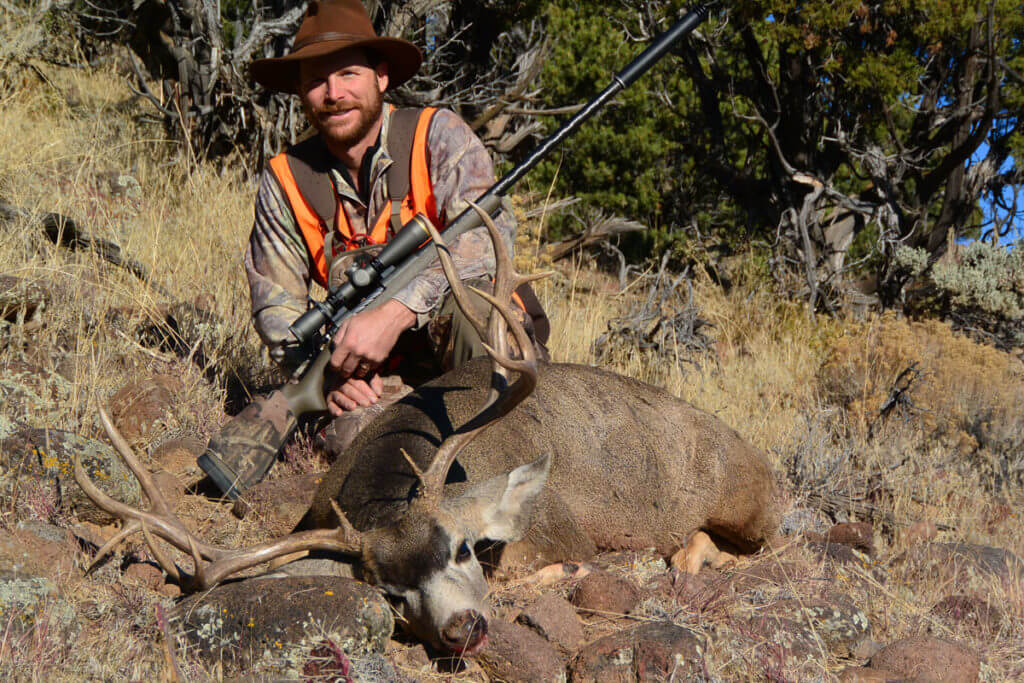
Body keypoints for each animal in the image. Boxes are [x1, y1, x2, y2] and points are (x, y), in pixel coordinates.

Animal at [77, 204, 782, 655]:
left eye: (463, 550)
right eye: (391, 595)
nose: (462, 628)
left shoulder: (558, 531)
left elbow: (550, 564)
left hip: (747, 506)